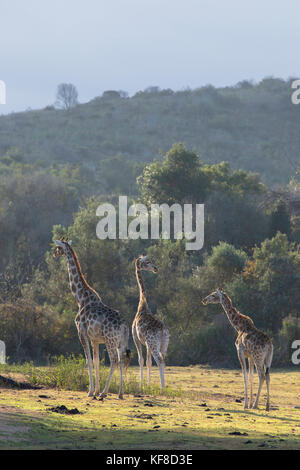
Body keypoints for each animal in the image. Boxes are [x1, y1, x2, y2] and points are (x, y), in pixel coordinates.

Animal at [53, 237, 130, 398]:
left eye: (58, 248)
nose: (54, 254)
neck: (81, 299)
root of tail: (124, 326)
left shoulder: (81, 333)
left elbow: (88, 360)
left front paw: (91, 392)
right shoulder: (95, 339)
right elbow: (96, 361)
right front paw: (96, 391)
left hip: (110, 341)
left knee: (114, 361)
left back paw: (105, 393)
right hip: (122, 341)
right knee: (121, 361)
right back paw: (120, 394)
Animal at [132, 255, 170, 388]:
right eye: (147, 262)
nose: (155, 269)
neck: (142, 303)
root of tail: (163, 331)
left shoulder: (135, 338)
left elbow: (141, 360)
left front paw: (141, 384)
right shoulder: (147, 344)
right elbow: (148, 362)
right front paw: (148, 385)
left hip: (154, 344)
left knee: (159, 360)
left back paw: (162, 387)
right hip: (164, 344)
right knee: (163, 359)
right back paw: (163, 386)